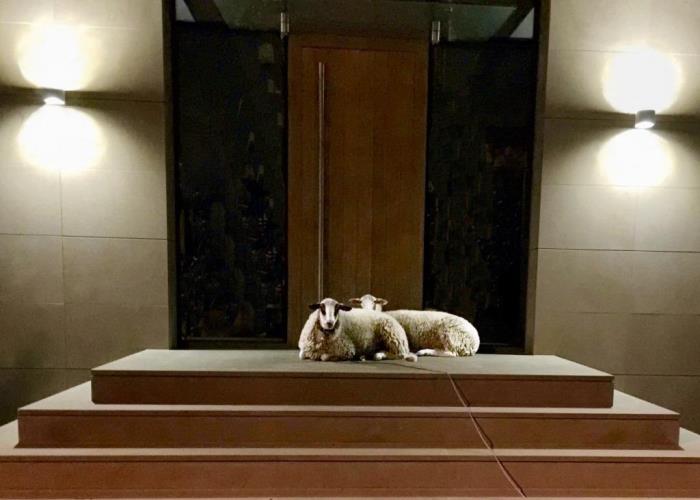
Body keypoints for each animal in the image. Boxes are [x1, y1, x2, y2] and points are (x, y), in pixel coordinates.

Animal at [350, 294, 480, 357]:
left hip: (450, 335)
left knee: (451, 353)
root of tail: (475, 342)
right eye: (360, 303)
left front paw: (381, 354)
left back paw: (425, 352)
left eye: (374, 303)